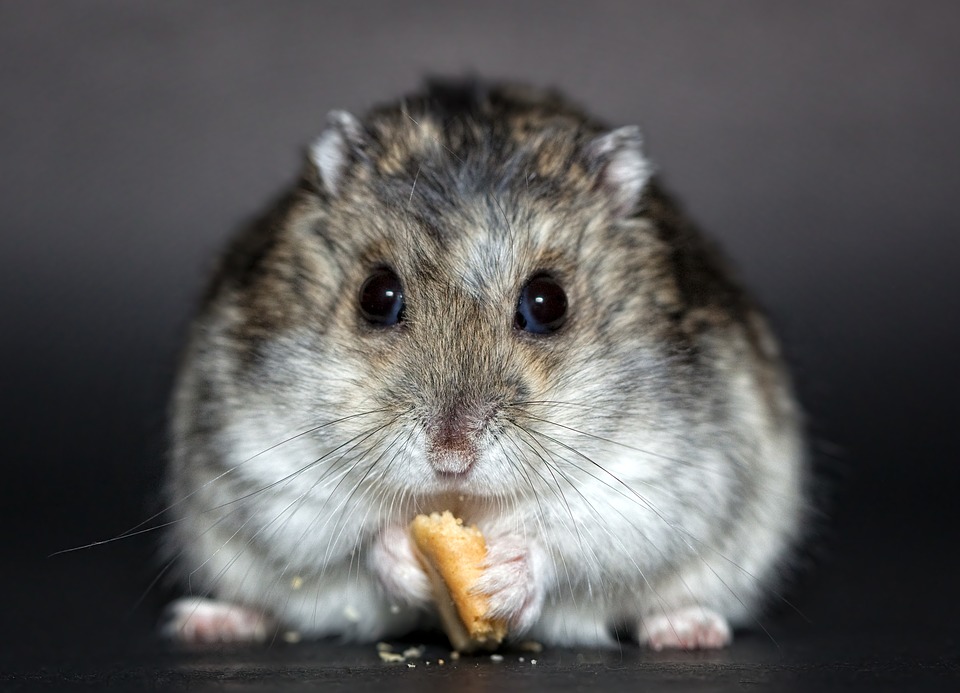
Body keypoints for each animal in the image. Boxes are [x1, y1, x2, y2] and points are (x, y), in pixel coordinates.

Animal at [161, 80, 806, 650]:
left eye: (548, 303)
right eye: (376, 296)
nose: (452, 459)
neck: (466, 503)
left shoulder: (658, 479)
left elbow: (572, 541)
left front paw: (501, 578)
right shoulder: (265, 463)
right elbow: (351, 535)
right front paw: (405, 557)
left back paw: (687, 631)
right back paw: (209, 621)